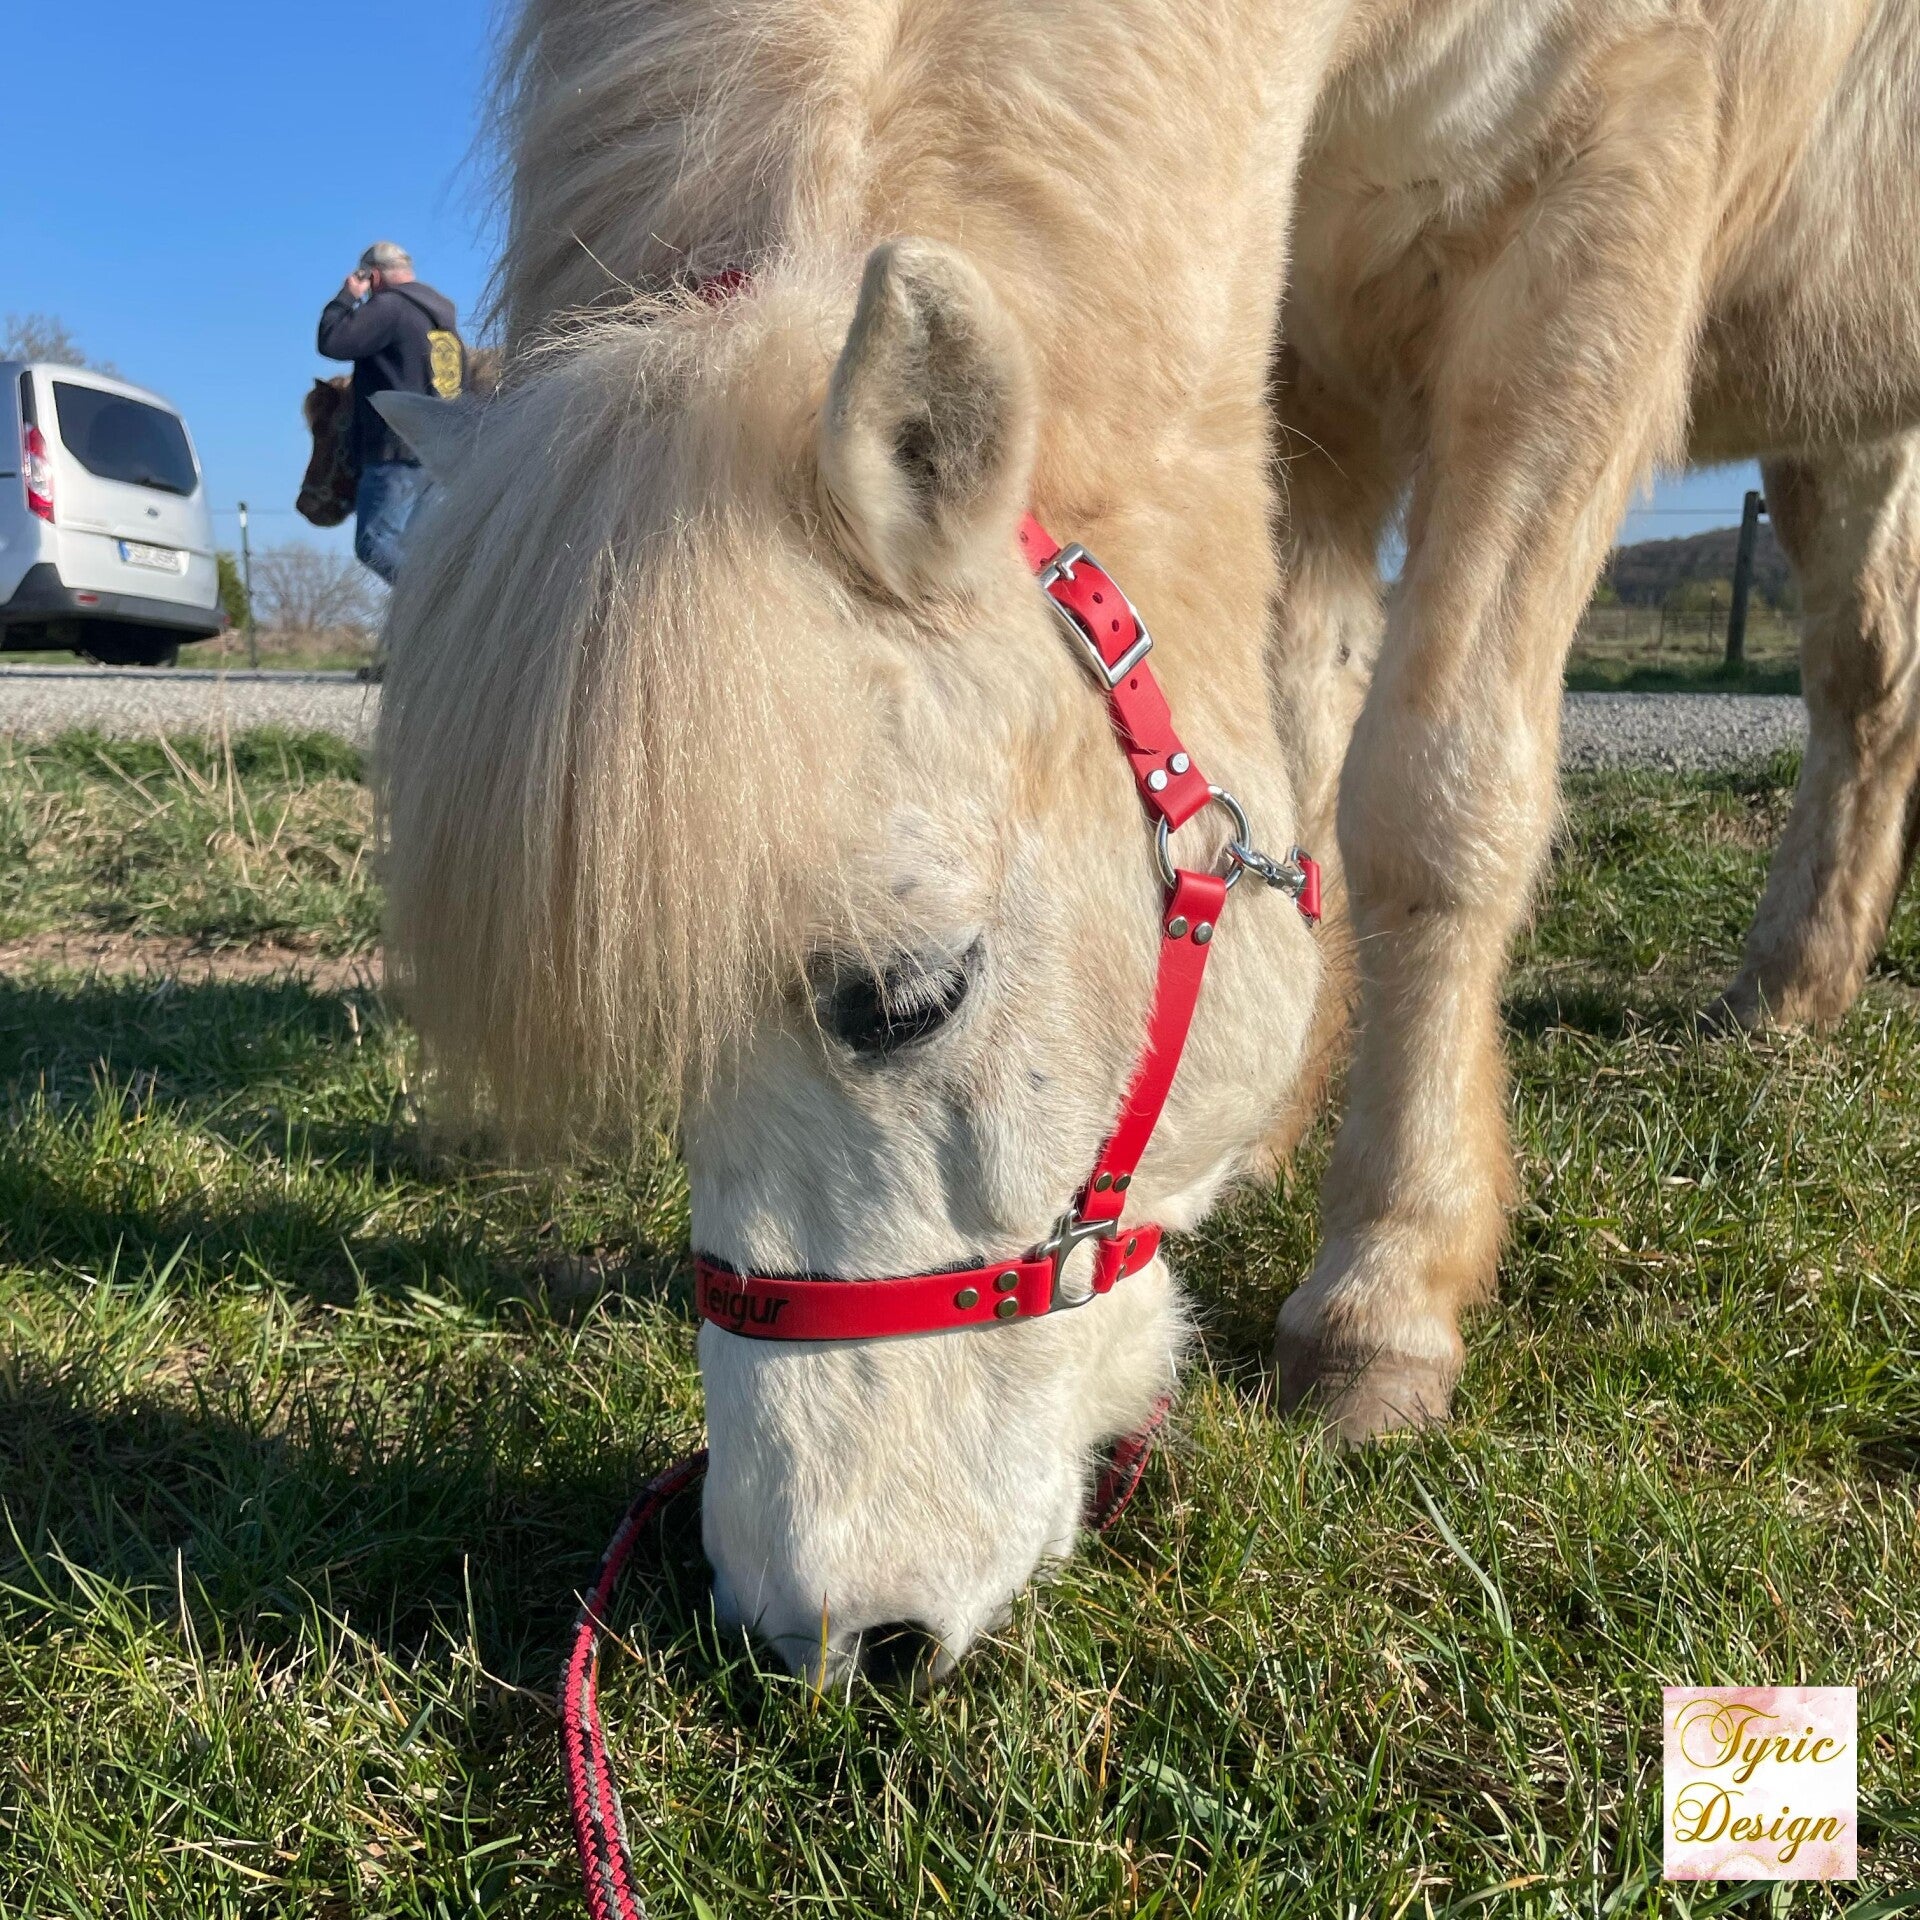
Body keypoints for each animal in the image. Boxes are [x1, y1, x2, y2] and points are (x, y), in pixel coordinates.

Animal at [373, 0, 1920, 1678]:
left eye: (905, 1002)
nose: (822, 1633)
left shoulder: (1598, 211)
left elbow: (1434, 790)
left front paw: (1384, 1292)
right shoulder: (1289, 350)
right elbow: (1299, 734)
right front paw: (1285, 1112)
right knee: (1868, 676)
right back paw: (1791, 985)